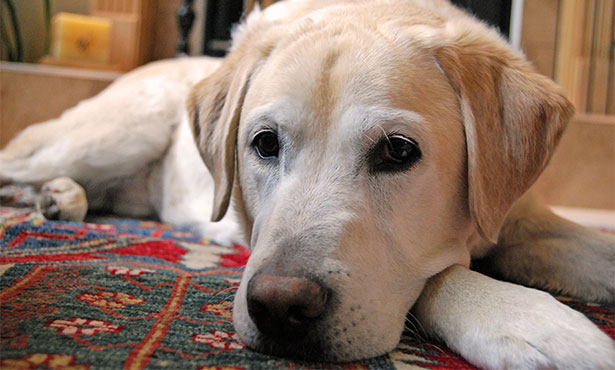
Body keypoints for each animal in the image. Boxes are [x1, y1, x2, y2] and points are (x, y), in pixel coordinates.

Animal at [1, 0, 615, 368]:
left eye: (398, 151)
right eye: (264, 143)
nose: (278, 308)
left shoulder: (519, 215)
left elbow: (595, 250)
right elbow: (440, 276)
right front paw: (534, 324)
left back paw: (62, 198)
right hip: (118, 132)